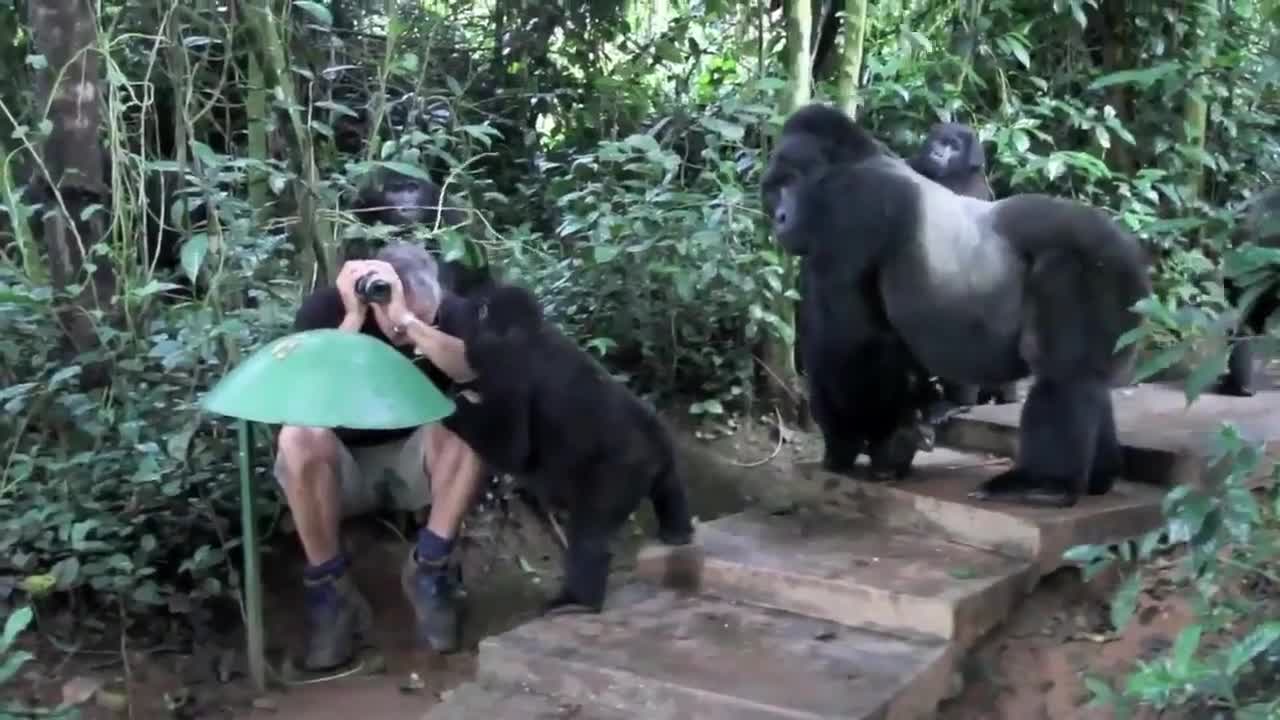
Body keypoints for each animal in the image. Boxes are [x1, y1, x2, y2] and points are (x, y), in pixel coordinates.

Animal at [437, 280, 701, 609]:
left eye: (479, 309)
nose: (448, 307)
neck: (530, 331)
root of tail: (653, 442)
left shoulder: (505, 367)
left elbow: (512, 449)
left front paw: (451, 404)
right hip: (664, 453)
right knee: (671, 490)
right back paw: (677, 533)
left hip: (620, 473)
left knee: (590, 538)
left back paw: (576, 599)